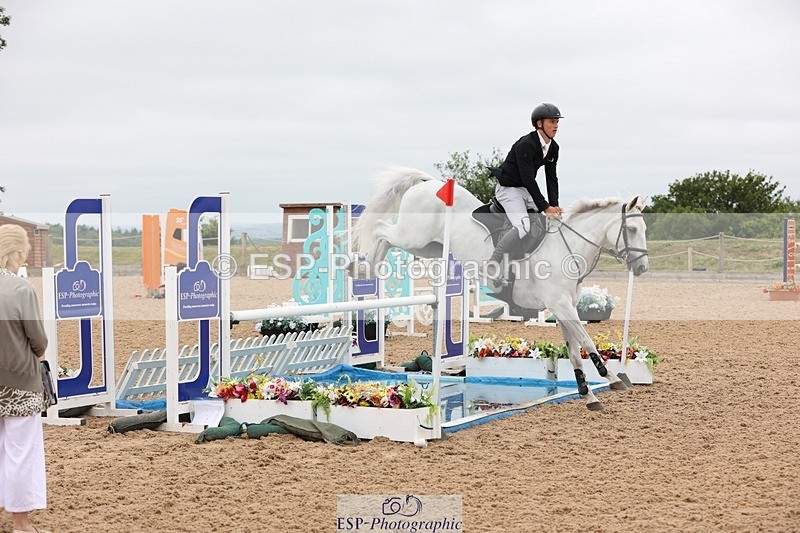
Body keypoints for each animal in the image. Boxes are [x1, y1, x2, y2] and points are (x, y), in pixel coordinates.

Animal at [351, 167, 650, 411]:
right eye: (632, 229)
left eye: (644, 229)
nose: (642, 268)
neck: (567, 248)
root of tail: (428, 183)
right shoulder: (561, 305)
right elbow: (587, 342)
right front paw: (614, 379)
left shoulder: (564, 307)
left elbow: (575, 350)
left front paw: (588, 395)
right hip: (413, 236)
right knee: (381, 230)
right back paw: (360, 267)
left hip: (428, 246)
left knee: (386, 237)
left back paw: (363, 268)